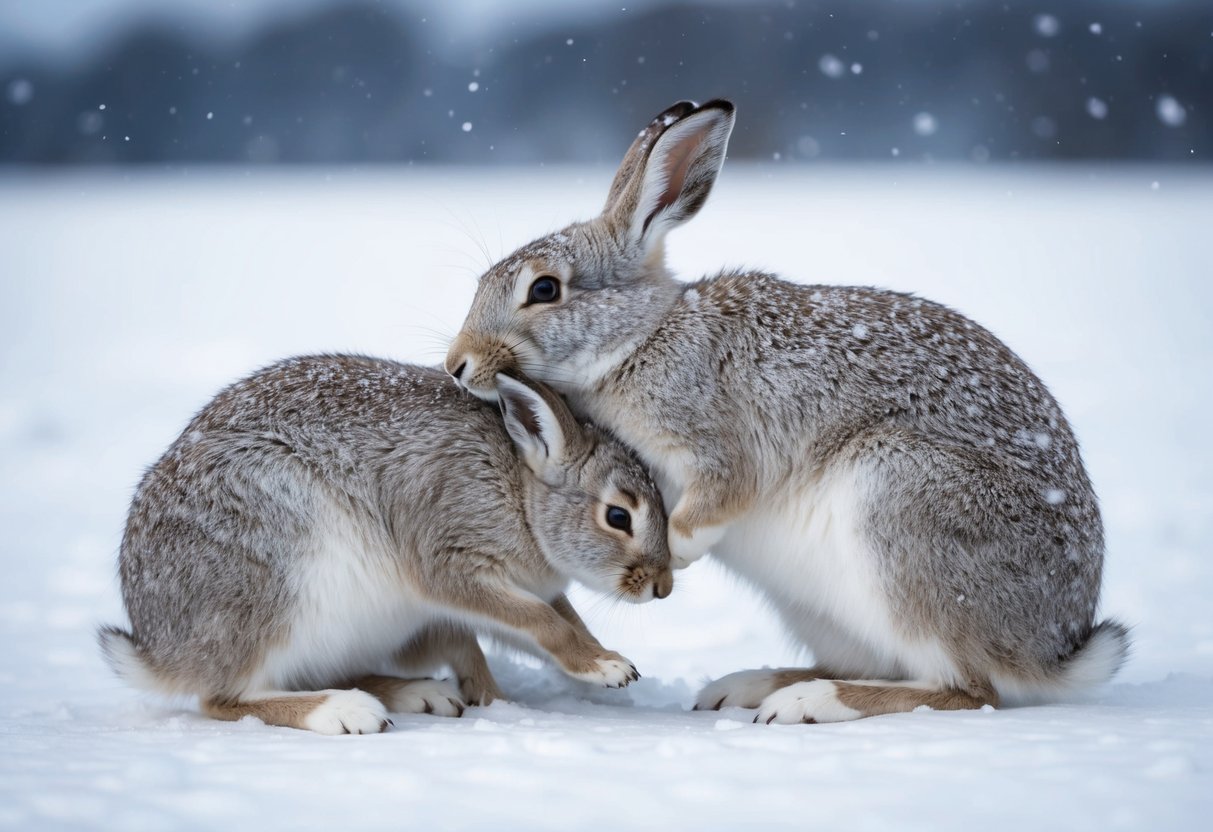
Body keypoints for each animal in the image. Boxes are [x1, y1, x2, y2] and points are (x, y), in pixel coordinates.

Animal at [99, 355, 672, 734]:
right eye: (618, 516)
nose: (662, 587)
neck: (520, 496)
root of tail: (160, 652)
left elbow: (564, 620)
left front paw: (607, 664)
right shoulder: (451, 559)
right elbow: (543, 623)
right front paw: (605, 669)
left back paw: (422, 694)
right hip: (278, 589)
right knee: (222, 699)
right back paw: (346, 712)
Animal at [443, 99, 1130, 724]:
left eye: (544, 289)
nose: (457, 363)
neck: (641, 339)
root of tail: (1054, 651)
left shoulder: (714, 440)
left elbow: (714, 499)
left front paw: (680, 553)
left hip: (901, 505)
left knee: (966, 690)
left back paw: (806, 702)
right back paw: (747, 687)